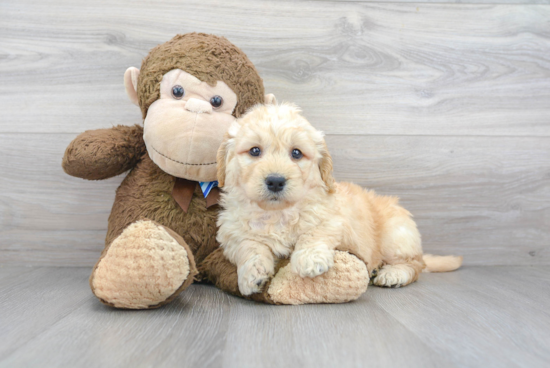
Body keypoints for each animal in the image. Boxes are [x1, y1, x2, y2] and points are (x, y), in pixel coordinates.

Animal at [216, 102, 462, 294]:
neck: (277, 213)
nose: (275, 181)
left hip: (397, 236)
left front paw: (310, 260)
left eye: (296, 153)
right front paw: (252, 274)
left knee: (415, 264)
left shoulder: (333, 219)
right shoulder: (233, 233)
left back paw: (393, 274)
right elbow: (249, 246)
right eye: (254, 151)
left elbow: (313, 232)